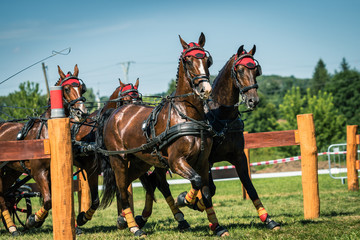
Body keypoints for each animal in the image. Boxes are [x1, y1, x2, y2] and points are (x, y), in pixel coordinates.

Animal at [0, 64, 87, 236]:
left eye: (82, 87)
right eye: (66, 88)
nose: (81, 112)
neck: (47, 134)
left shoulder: (52, 174)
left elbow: (56, 198)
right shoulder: (38, 172)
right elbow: (48, 201)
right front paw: (33, 220)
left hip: (13, 170)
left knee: (6, 194)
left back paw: (12, 225)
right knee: (0, 197)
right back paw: (12, 228)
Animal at [98, 32, 228, 237]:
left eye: (208, 60)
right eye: (188, 61)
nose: (205, 90)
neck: (186, 115)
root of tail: (116, 112)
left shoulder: (203, 162)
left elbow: (206, 191)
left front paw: (217, 226)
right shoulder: (176, 161)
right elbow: (197, 181)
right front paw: (185, 200)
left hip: (140, 162)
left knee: (136, 184)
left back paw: (126, 220)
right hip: (119, 159)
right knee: (122, 188)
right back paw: (134, 227)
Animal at [138, 45, 282, 231]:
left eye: (256, 70)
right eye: (240, 70)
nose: (253, 100)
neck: (222, 117)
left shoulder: (237, 157)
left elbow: (248, 186)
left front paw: (268, 219)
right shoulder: (206, 159)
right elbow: (209, 189)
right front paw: (188, 200)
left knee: (154, 182)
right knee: (158, 183)